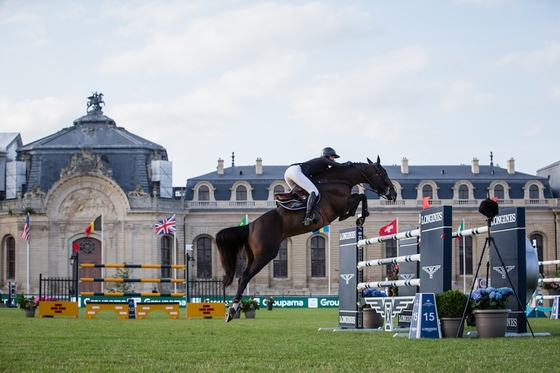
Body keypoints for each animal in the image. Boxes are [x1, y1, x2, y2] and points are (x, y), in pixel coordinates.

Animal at [217, 155, 396, 322]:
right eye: (383, 173)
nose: (393, 194)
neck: (339, 180)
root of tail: (250, 226)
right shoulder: (341, 204)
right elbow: (361, 198)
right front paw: (360, 216)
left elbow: (359, 199)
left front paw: (355, 215)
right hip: (265, 255)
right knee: (244, 278)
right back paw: (232, 310)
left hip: (252, 256)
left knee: (243, 277)